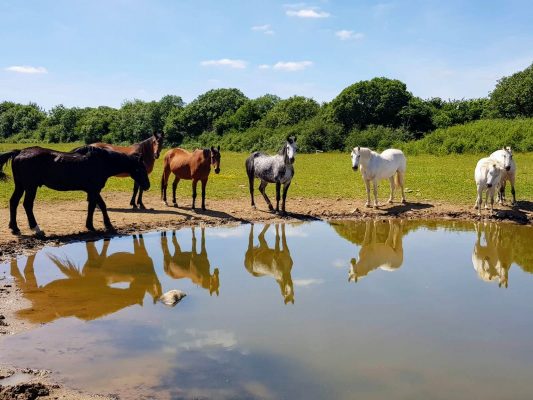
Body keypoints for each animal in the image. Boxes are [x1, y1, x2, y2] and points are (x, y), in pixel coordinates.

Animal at [0, 146, 149, 234]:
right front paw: (99, 225)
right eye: (140, 168)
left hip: (20, 186)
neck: (102, 162)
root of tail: (20, 152)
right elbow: (97, 206)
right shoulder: (94, 190)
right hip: (31, 187)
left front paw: (99, 225)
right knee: (27, 205)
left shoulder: (92, 190)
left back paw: (14, 227)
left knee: (13, 202)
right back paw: (35, 228)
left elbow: (97, 206)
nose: (147, 185)